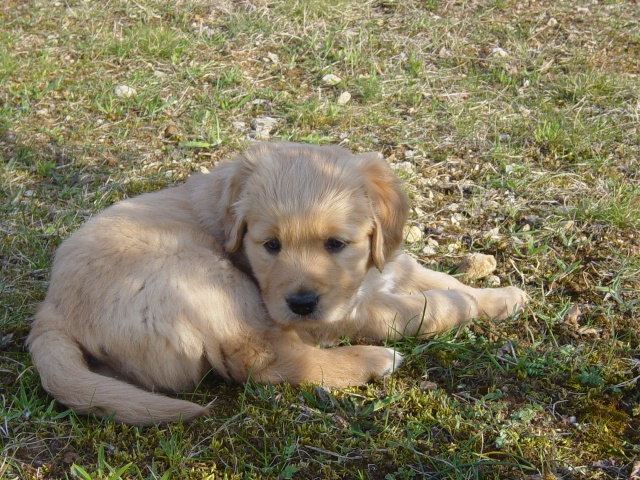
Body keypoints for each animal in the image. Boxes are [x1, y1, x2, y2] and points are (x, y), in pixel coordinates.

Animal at [27, 142, 528, 424]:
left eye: (335, 244)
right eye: (270, 245)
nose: (301, 303)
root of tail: (49, 315)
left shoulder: (388, 263)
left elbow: (434, 277)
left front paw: (500, 297)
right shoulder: (331, 313)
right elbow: (415, 308)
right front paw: (460, 306)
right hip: (208, 277)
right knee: (264, 362)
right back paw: (372, 360)